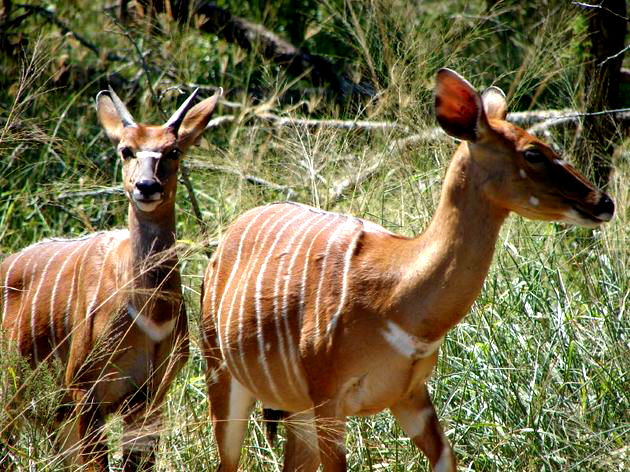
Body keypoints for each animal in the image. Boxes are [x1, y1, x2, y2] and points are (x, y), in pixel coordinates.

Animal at [0, 86, 222, 470]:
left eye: (173, 150)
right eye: (125, 149)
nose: (146, 186)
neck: (151, 314)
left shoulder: (150, 395)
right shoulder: (83, 387)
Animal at [200, 68, 616, 470]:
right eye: (533, 153)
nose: (604, 202)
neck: (398, 295)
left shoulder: (411, 394)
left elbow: (446, 458)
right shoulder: (329, 397)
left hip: (295, 409)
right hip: (223, 376)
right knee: (227, 460)